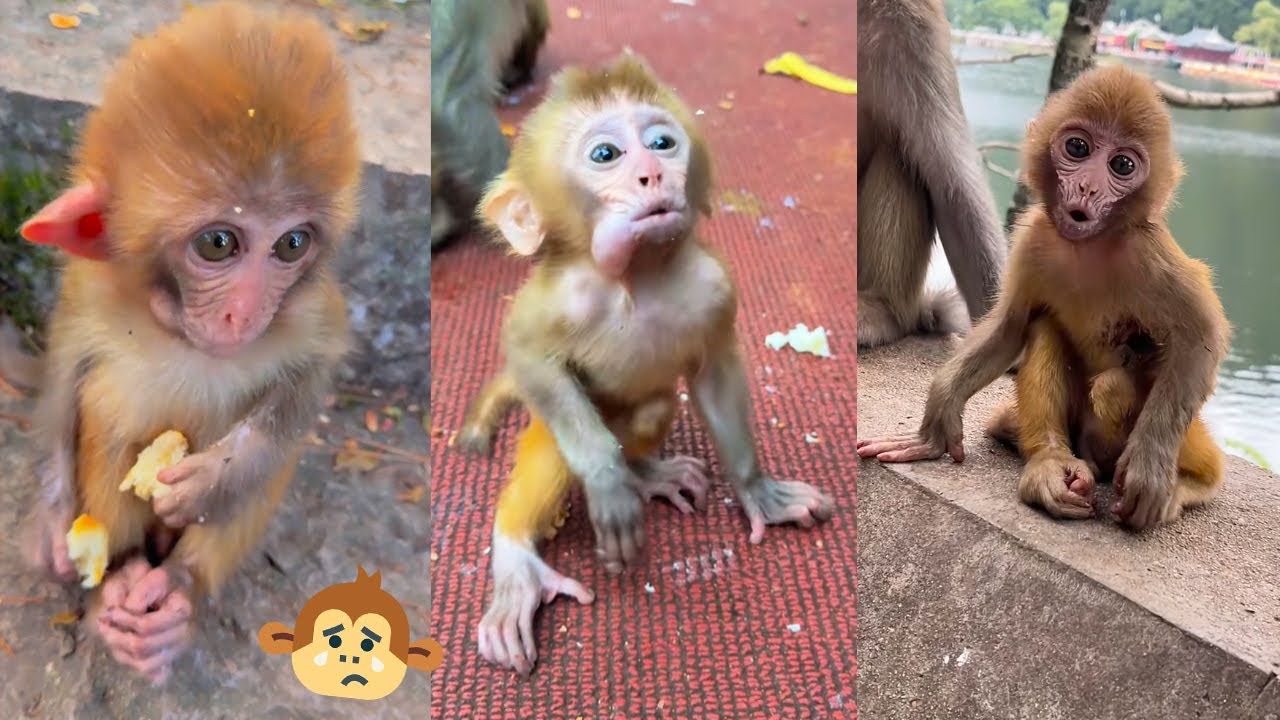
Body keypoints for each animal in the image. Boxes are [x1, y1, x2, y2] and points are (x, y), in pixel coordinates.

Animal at [17, 1, 360, 683]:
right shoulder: (87, 291)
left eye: (292, 243)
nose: (245, 312)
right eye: (218, 243)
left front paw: (220, 480)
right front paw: (50, 516)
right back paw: (120, 585)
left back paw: (177, 589)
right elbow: (66, 380)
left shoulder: (310, 310)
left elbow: (305, 386)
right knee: (108, 404)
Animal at [454, 52, 835, 674]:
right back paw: (517, 558)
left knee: (656, 405)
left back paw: (644, 471)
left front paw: (756, 488)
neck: (639, 276)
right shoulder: (559, 299)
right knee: (554, 448)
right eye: (605, 154)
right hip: (547, 428)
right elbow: (531, 359)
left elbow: (714, 375)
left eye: (662, 143)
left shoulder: (714, 286)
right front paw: (607, 485)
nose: (652, 176)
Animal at [856, 64, 1230, 531]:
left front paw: (1150, 469)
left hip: (1176, 439)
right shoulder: (1033, 239)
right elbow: (1010, 328)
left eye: (1122, 165)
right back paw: (1050, 466)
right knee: (1043, 328)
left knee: (1113, 389)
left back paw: (1188, 481)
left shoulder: (1148, 251)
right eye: (1078, 147)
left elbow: (1201, 334)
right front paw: (936, 427)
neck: (1085, 249)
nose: (1087, 188)